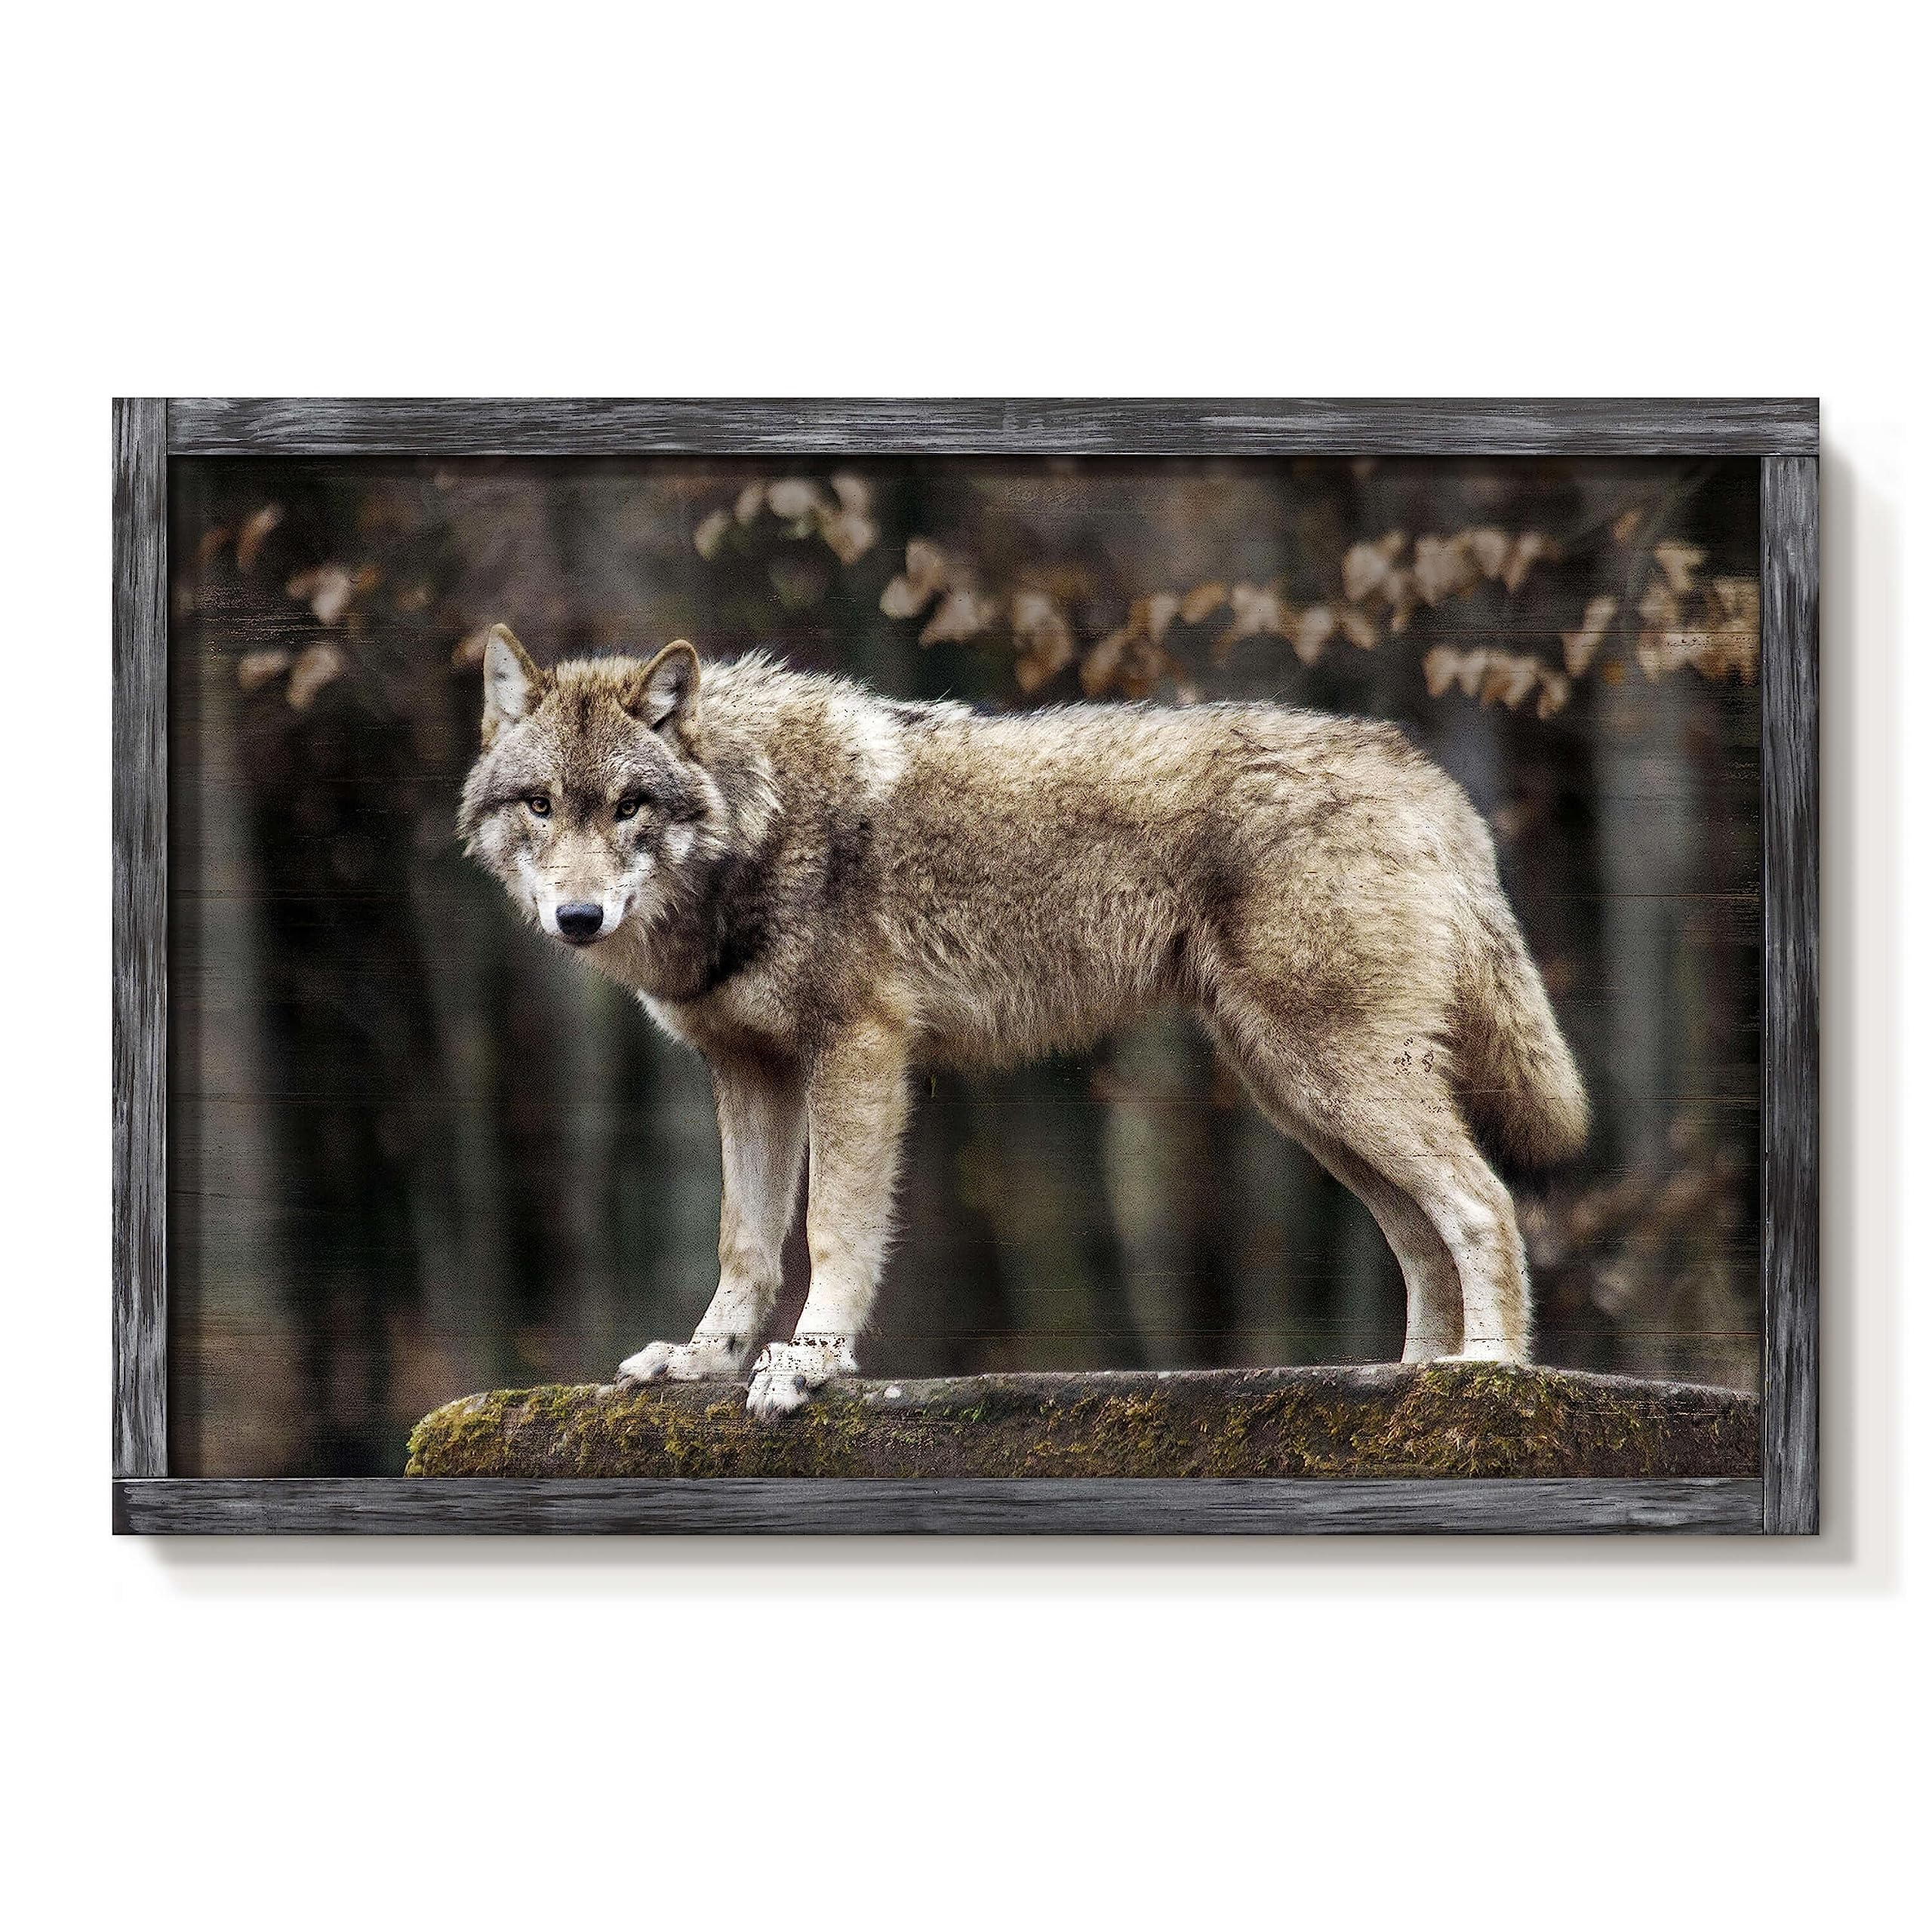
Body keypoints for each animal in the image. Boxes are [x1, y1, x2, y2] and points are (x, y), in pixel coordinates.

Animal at [460, 623, 1588, 1418]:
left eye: (629, 807)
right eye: (540, 804)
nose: (576, 917)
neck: (758, 820)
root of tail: (1425, 773)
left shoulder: (857, 1052)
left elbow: (830, 1232)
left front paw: (810, 1367)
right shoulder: (750, 1071)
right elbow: (744, 1241)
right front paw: (702, 1362)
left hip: (1332, 1081)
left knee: (1484, 1204)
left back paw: (1489, 1378)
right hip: (1302, 1097)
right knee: (1421, 1234)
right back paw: (1412, 1384)